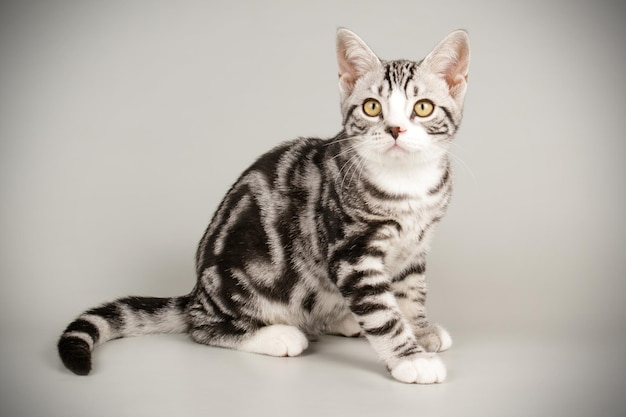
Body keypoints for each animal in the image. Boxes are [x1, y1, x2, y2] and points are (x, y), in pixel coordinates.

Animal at [58, 26, 468, 384]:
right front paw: (410, 358)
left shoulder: (415, 248)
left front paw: (420, 331)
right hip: (238, 275)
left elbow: (410, 294)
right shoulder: (353, 252)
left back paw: (343, 320)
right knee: (201, 326)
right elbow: (381, 312)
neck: (406, 183)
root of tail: (198, 292)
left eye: (423, 108)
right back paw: (277, 335)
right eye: (371, 107)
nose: (395, 129)